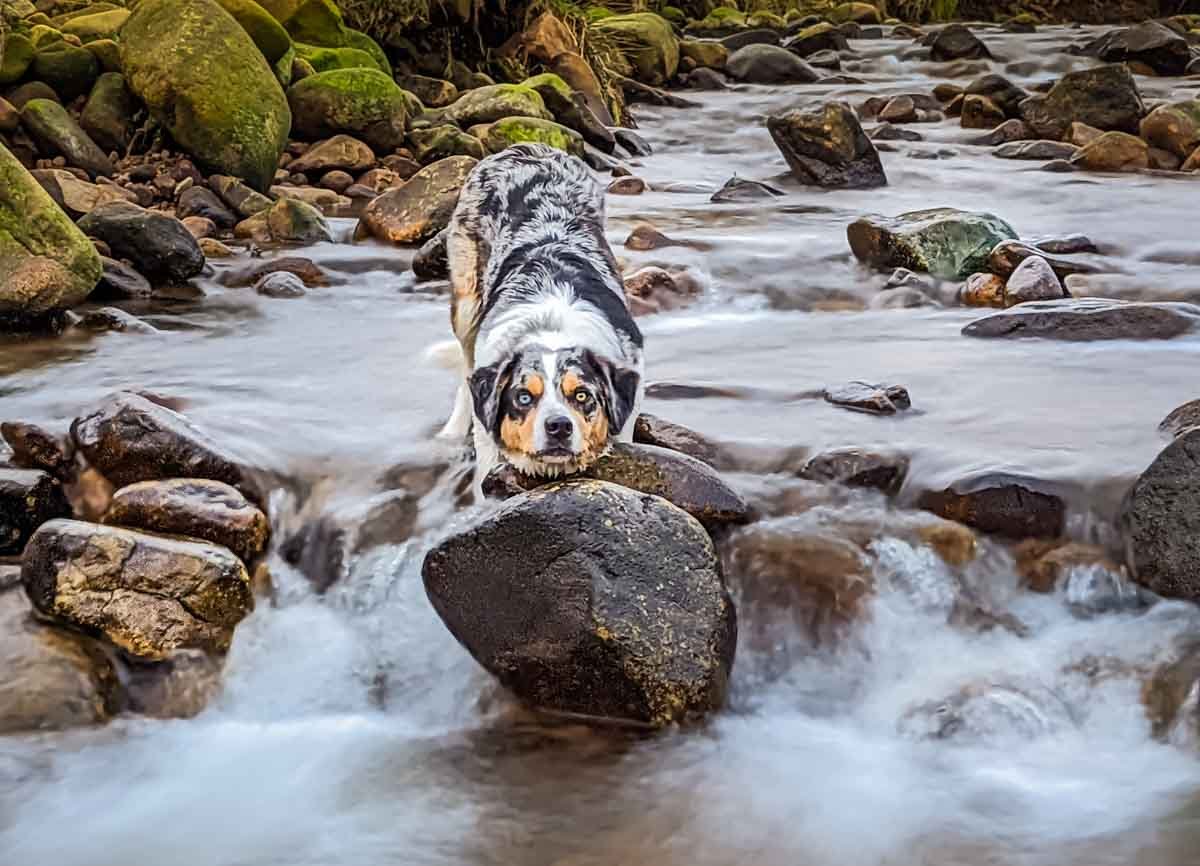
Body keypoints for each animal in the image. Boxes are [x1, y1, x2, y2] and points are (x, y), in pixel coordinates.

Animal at [439, 145, 648, 489]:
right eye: (523, 397)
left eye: (582, 395)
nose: (559, 426)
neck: (552, 326)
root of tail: (527, 147)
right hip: (467, 304)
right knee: (465, 371)